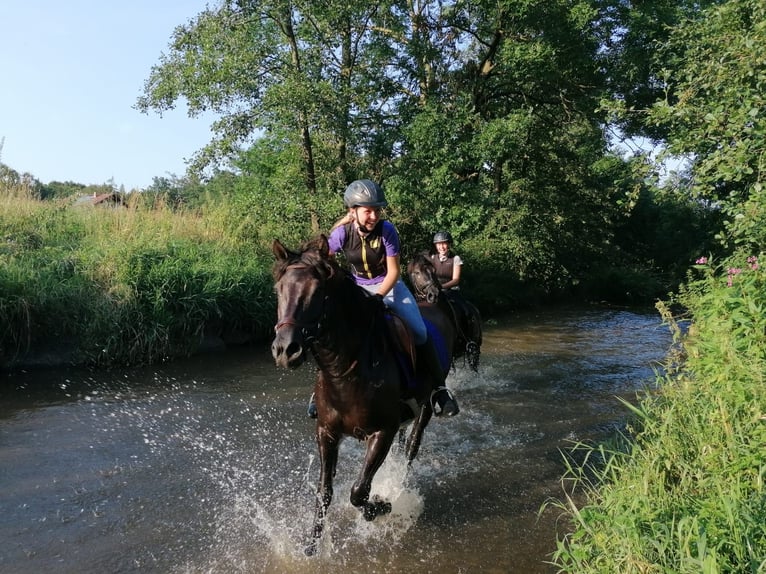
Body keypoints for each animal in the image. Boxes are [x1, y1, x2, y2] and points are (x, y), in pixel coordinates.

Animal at [272, 235, 456, 560]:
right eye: (278, 290)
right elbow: (324, 492)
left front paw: (382, 506)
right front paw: (312, 545)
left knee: (412, 446)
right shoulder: (326, 432)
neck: (343, 370)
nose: (285, 350)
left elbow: (359, 491)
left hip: (425, 405)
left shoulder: (382, 431)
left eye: (316, 291)